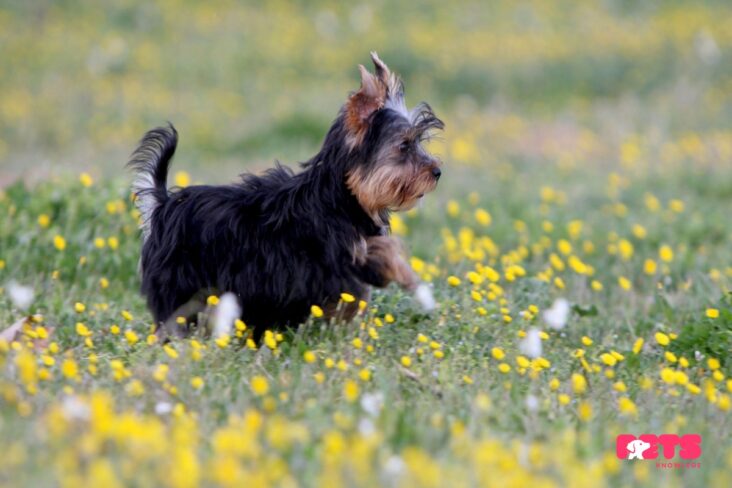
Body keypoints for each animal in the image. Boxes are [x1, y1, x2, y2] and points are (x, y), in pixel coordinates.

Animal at [129, 51, 444, 338]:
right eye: (404, 146)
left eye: (418, 142)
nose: (437, 171)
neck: (342, 198)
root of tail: (163, 206)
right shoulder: (331, 259)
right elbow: (380, 258)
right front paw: (413, 284)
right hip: (179, 279)